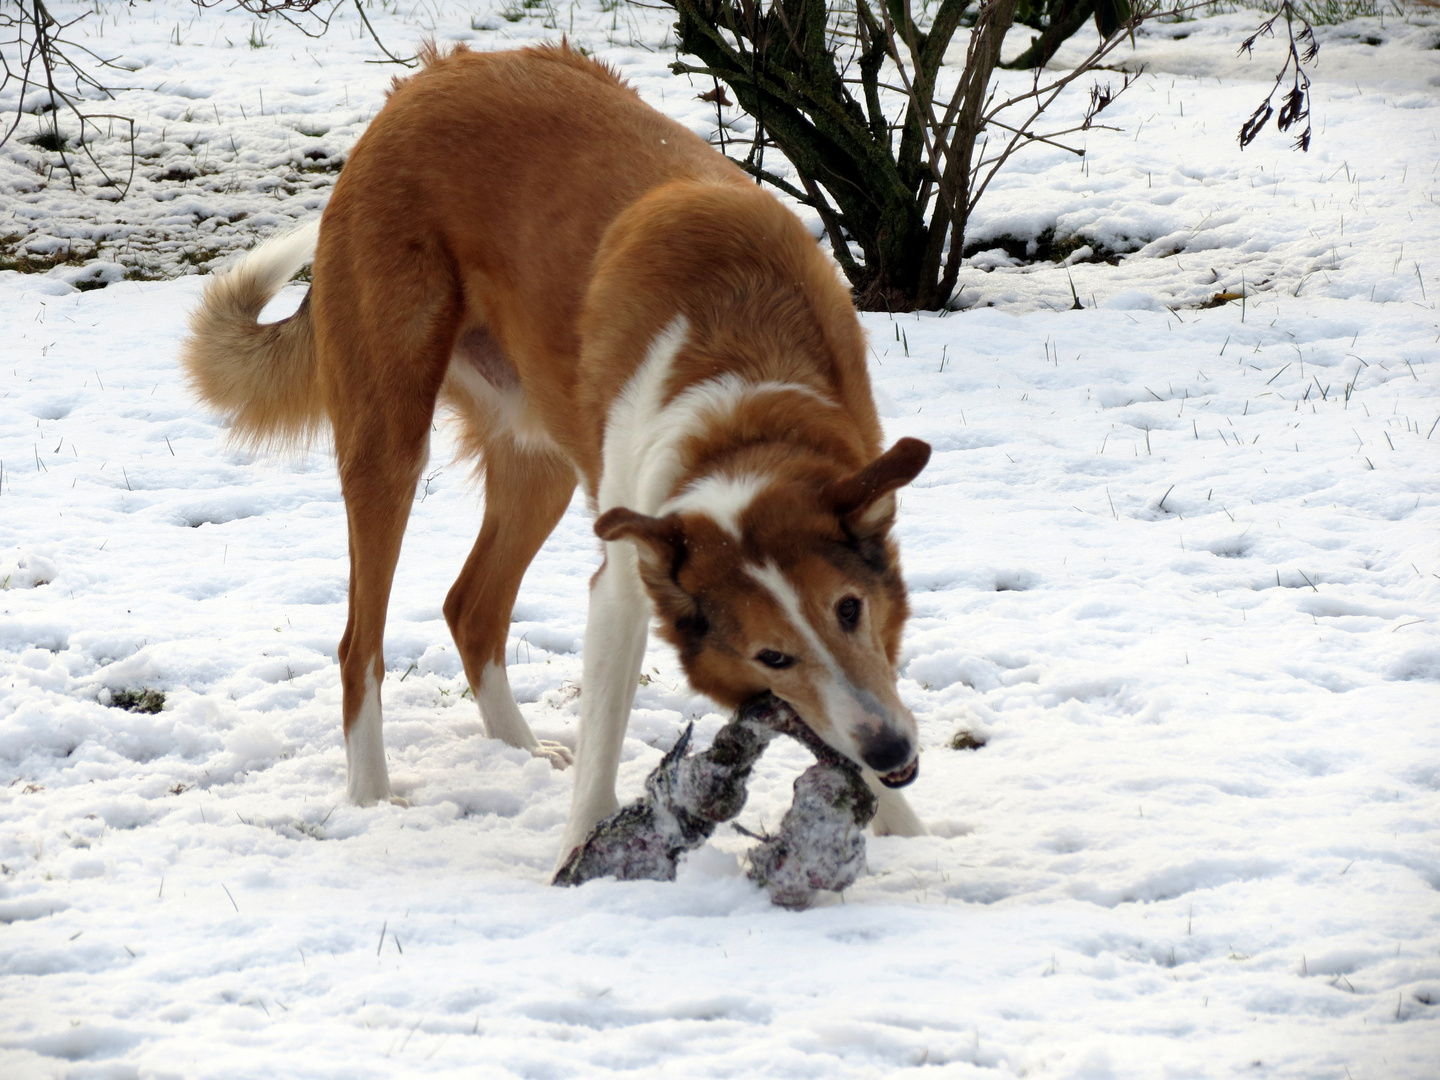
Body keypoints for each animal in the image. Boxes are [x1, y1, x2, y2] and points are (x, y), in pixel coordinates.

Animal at [182, 44, 933, 869]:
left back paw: (519, 748)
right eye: (770, 656)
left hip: (539, 461)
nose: (894, 751)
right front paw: (586, 853)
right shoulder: (625, 581)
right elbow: (604, 739)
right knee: (360, 647)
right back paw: (372, 797)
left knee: (471, 607)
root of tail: (422, 79)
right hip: (390, 442)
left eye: (850, 609)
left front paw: (907, 830)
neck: (744, 397)